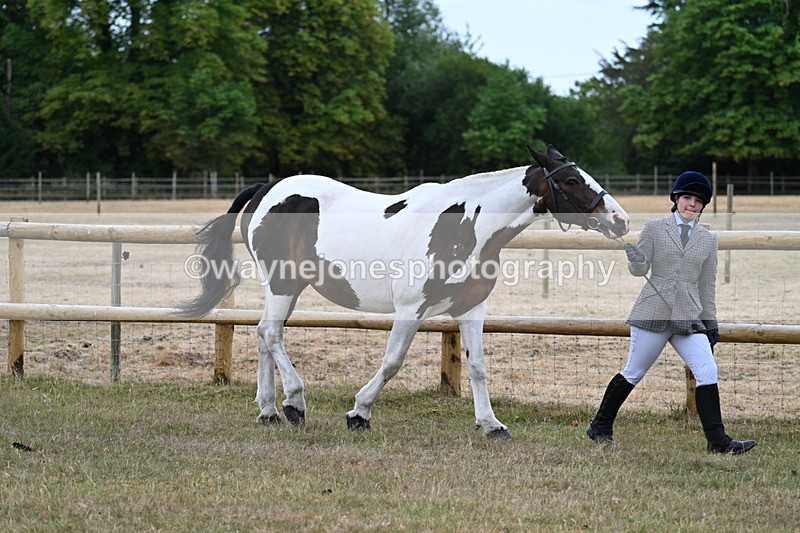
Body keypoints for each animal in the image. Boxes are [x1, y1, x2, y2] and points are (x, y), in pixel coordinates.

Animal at [178, 145, 630, 439]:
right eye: (571, 179)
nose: (621, 220)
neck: (465, 225)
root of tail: (264, 190)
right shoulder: (411, 311)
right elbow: (392, 362)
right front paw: (359, 413)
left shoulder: (472, 310)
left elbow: (479, 368)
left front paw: (491, 424)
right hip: (282, 283)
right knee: (271, 334)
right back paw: (294, 403)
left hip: (287, 288)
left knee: (262, 335)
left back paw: (269, 411)